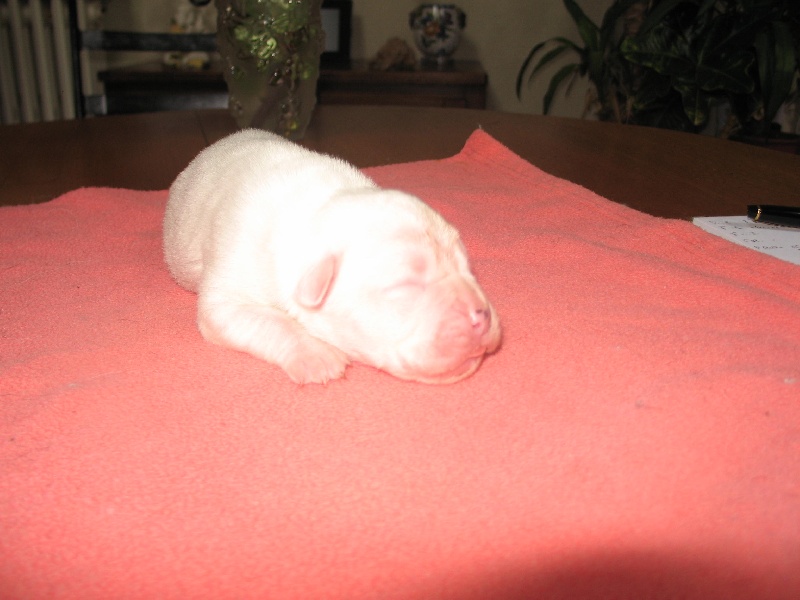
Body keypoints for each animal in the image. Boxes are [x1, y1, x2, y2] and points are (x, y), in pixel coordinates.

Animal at [164, 129, 501, 384]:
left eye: (468, 268)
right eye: (404, 286)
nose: (482, 315)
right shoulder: (228, 291)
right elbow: (267, 320)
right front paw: (317, 356)